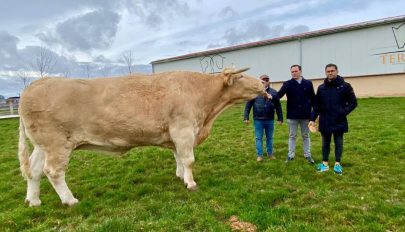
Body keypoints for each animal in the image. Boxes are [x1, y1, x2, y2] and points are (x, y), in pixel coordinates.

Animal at [18, 67, 262, 207]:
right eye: (241, 76)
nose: (263, 83)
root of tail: (32, 87)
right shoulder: (183, 129)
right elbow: (188, 159)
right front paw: (191, 184)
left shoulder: (175, 134)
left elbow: (178, 158)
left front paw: (181, 177)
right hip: (57, 144)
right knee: (53, 171)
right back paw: (70, 200)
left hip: (42, 145)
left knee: (34, 170)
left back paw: (34, 200)